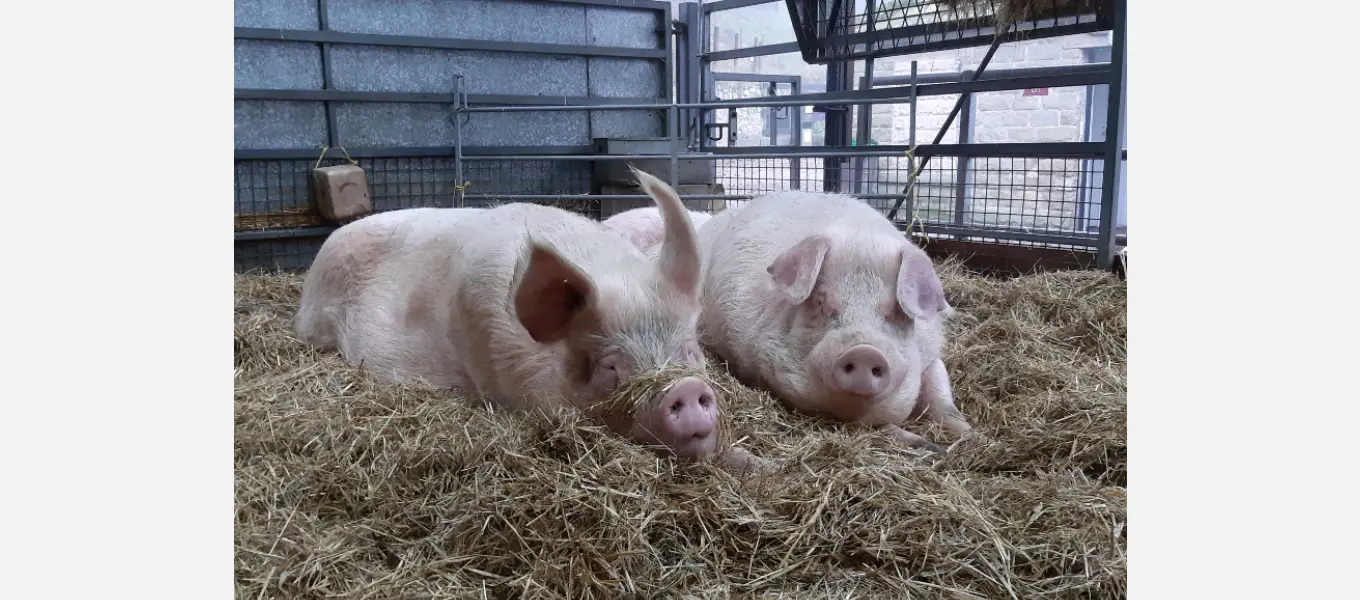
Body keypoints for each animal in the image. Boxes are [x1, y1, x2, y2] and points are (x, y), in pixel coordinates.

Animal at [695, 191, 970, 453]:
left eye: (896, 309)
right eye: (820, 301)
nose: (865, 352)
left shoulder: (932, 351)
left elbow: (941, 393)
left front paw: (968, 435)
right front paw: (933, 447)